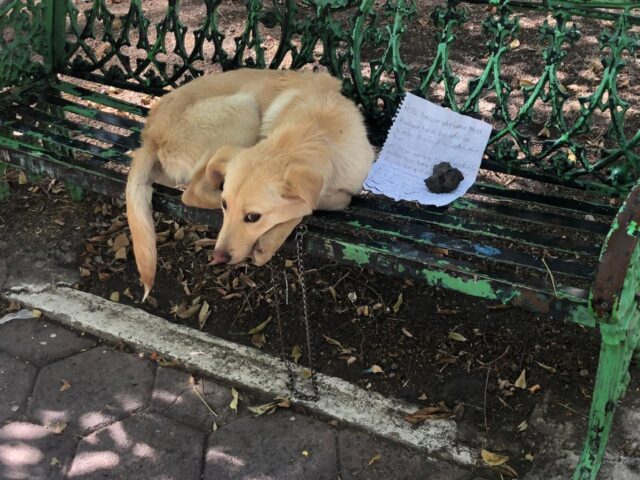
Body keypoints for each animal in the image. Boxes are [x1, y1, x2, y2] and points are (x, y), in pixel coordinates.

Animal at [126, 67, 376, 300]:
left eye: (253, 217)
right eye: (225, 206)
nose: (218, 257)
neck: (316, 131)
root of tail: (150, 135)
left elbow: (320, 201)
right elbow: (313, 204)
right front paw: (272, 239)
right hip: (244, 110)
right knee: (192, 192)